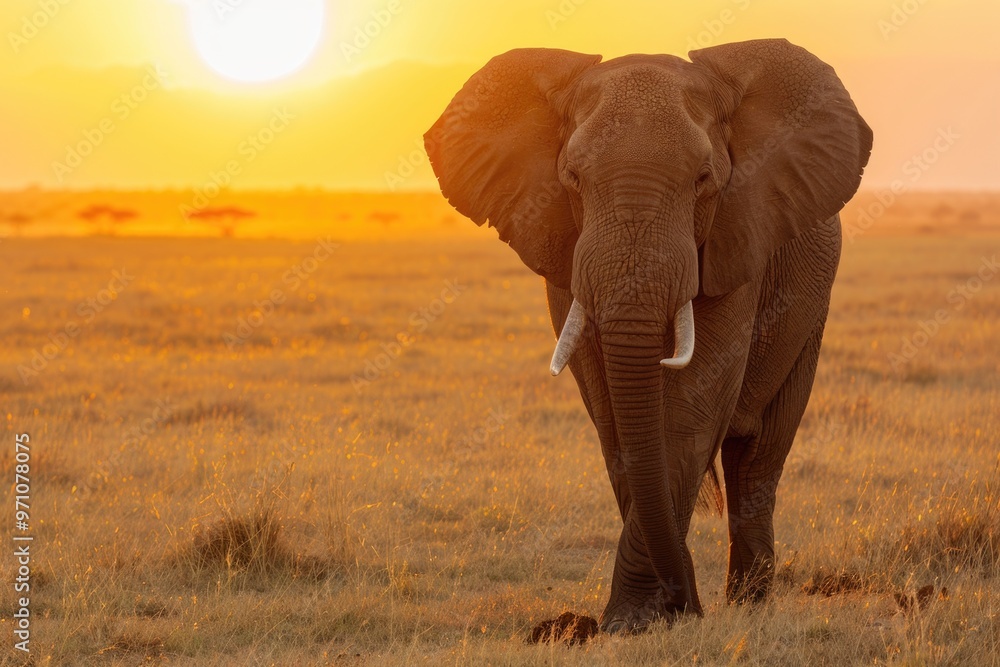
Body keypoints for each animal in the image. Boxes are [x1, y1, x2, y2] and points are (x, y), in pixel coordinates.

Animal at [424, 39, 872, 634]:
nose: (687, 604)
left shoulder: (737, 239)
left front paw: (636, 621)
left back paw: (750, 607)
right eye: (572, 179)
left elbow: (690, 410)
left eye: (704, 179)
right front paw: (651, 617)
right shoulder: (565, 255)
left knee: (760, 454)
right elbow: (613, 418)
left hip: (813, 311)